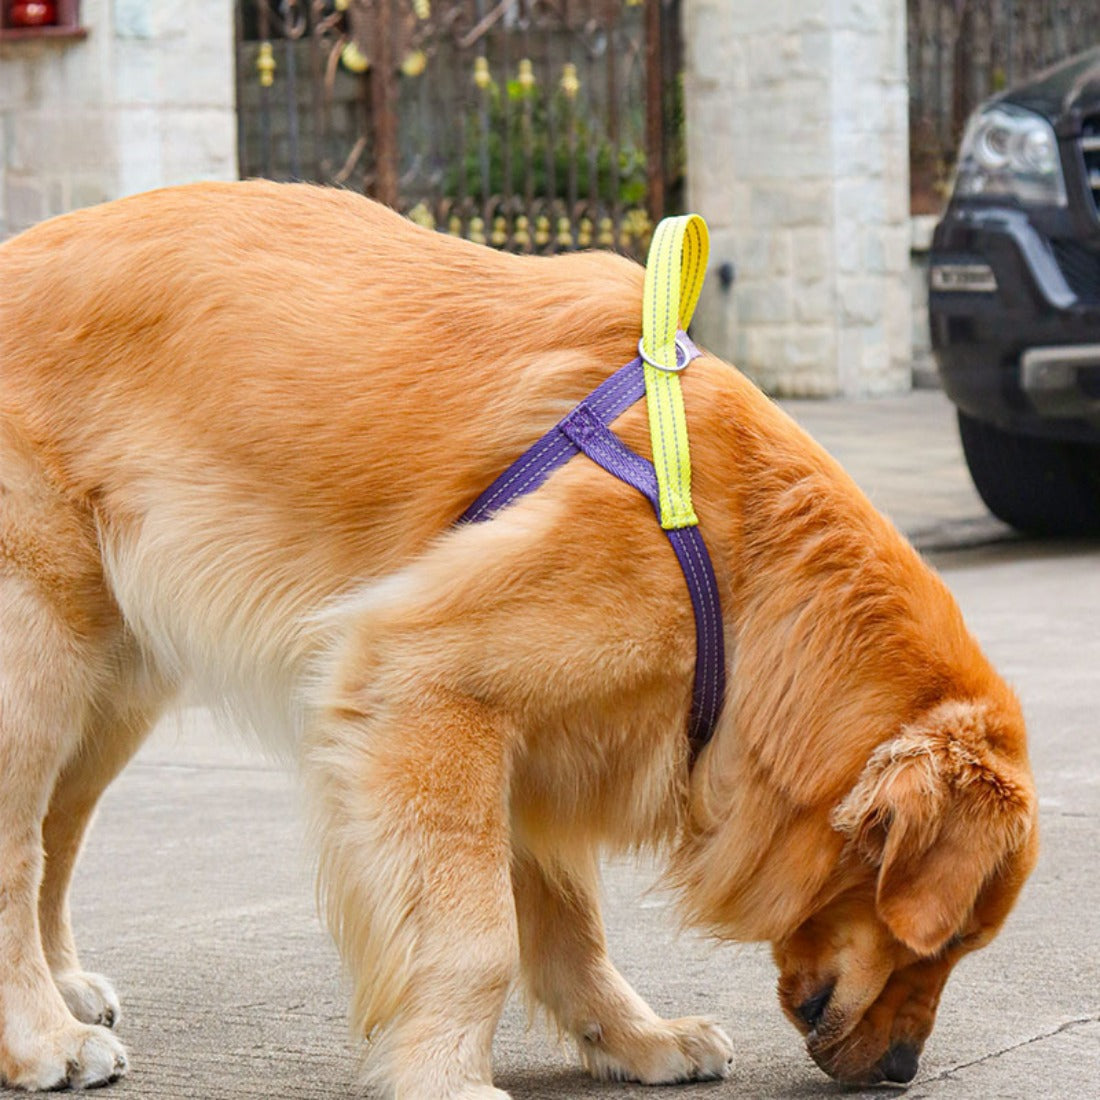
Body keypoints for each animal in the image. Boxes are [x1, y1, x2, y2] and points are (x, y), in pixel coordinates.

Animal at [0, 184, 1034, 1095]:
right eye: (942, 940)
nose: (901, 1072)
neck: (751, 569)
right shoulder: (429, 688)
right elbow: (478, 939)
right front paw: (447, 1078)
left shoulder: (536, 741)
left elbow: (570, 925)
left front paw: (633, 1037)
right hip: (35, 669)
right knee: (19, 853)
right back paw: (45, 1036)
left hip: (113, 696)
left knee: (56, 835)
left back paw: (66, 989)